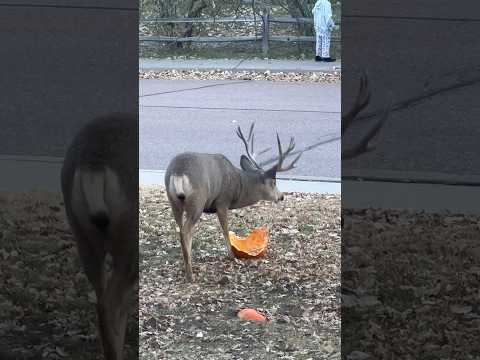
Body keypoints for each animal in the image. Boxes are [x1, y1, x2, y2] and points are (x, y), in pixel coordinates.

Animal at [164, 124, 300, 282]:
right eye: (273, 182)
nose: (281, 196)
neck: (237, 185)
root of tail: (178, 173)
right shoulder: (223, 201)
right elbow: (225, 229)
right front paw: (232, 256)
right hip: (198, 201)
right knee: (186, 230)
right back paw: (190, 274)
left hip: (174, 201)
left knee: (181, 229)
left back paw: (187, 265)